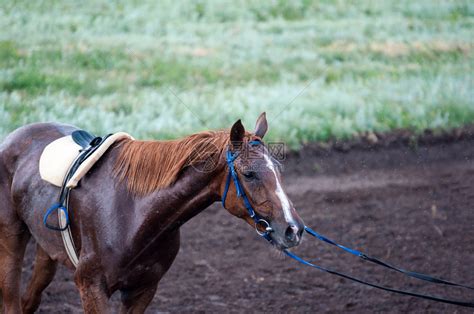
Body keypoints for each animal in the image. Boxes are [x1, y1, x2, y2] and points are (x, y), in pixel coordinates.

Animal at [0, 112, 304, 312]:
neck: (133, 214)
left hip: (47, 249)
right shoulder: (91, 287)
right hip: (12, 239)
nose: (293, 229)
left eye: (278, 170)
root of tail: (13, 137)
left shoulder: (143, 289)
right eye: (249, 174)